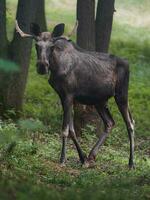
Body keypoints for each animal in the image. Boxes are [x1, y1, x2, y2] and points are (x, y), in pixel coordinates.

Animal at [15, 21, 135, 169]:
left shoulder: (68, 95)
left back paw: (131, 163)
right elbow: (72, 130)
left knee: (130, 124)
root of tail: (128, 63)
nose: (42, 66)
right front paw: (82, 158)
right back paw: (91, 156)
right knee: (110, 122)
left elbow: (65, 130)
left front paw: (62, 159)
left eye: (52, 47)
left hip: (121, 95)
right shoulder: (63, 96)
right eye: (36, 45)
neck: (56, 67)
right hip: (100, 101)